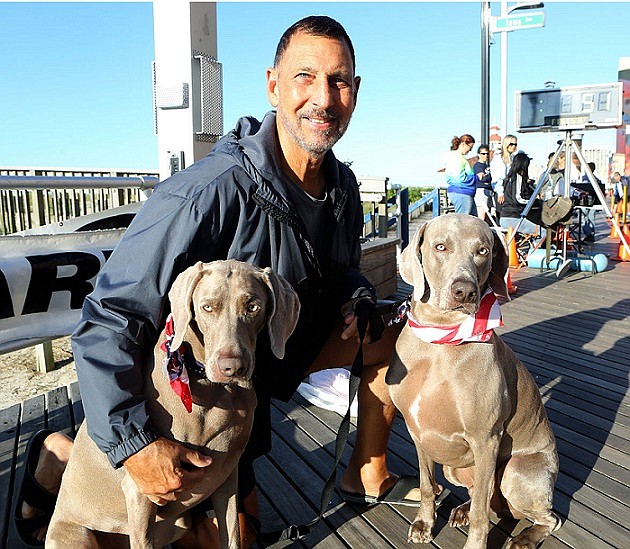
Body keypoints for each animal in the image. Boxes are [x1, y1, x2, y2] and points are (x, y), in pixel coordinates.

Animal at [48, 260, 300, 548]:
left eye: (253, 307)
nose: (232, 368)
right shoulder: (141, 490)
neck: (217, 390)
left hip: (179, 523)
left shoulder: (226, 476)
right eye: (207, 307)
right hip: (77, 535)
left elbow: (232, 534)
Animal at [390, 214, 564, 548]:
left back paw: (523, 538)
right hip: (454, 467)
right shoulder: (419, 433)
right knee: (485, 498)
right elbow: (427, 485)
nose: (465, 292)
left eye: (482, 251)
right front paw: (424, 523)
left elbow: (482, 517)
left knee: (545, 517)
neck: (440, 340)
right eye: (440, 246)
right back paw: (462, 510)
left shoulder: (486, 439)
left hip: (515, 471)